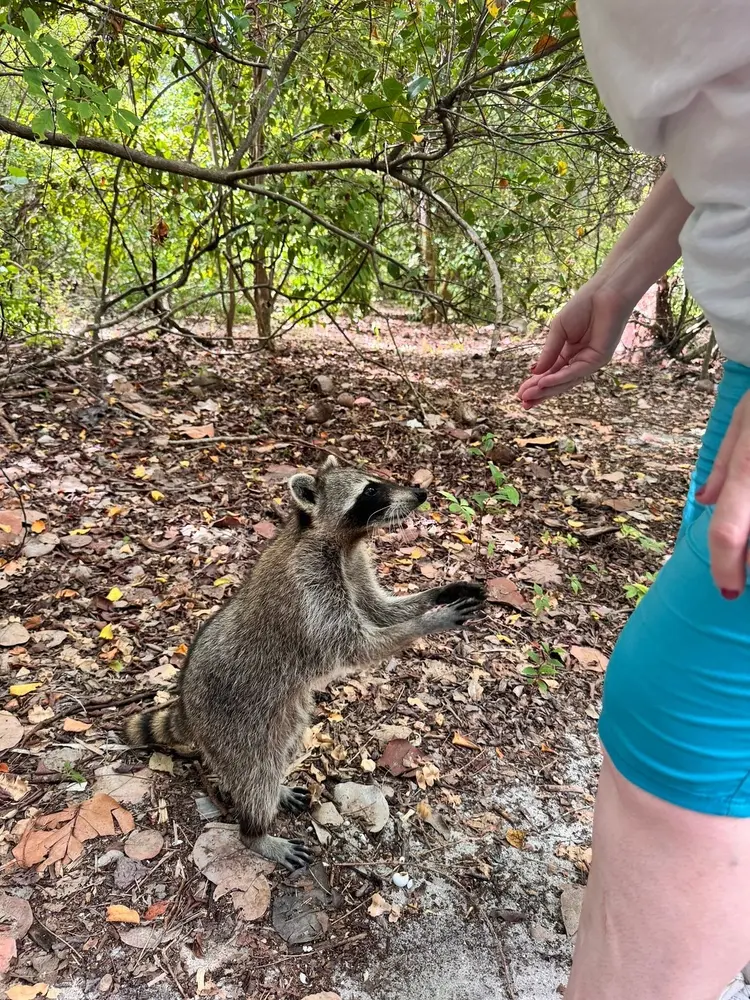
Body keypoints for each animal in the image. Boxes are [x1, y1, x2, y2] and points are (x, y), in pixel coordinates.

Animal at [124, 456, 485, 869]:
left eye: (376, 481)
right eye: (370, 490)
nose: (420, 493)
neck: (338, 539)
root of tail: (186, 704)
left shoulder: (353, 567)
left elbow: (381, 609)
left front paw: (440, 593)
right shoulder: (310, 587)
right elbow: (354, 646)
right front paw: (428, 621)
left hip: (287, 716)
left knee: (282, 751)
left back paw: (276, 789)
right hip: (235, 726)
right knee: (255, 774)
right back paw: (256, 832)